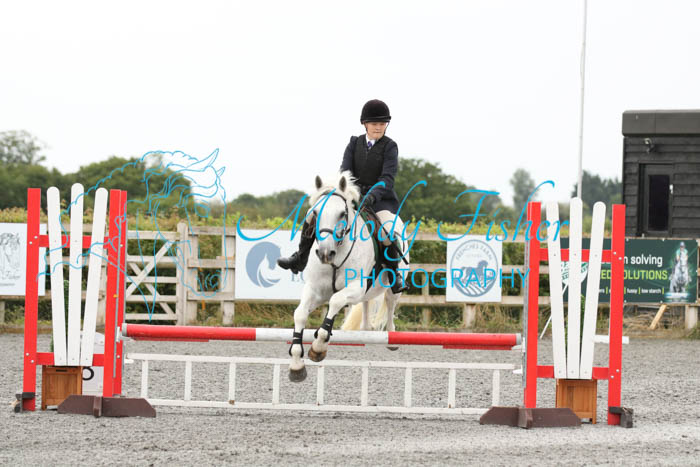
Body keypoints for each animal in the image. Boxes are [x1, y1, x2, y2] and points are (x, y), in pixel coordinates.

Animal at [288, 171, 409, 382]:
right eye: (315, 213)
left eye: (342, 214)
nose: (325, 253)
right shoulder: (315, 290)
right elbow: (300, 314)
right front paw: (296, 363)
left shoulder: (354, 287)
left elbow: (335, 301)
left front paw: (318, 347)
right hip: (365, 294)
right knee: (366, 305)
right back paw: (365, 329)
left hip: (392, 287)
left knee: (390, 303)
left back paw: (392, 337)